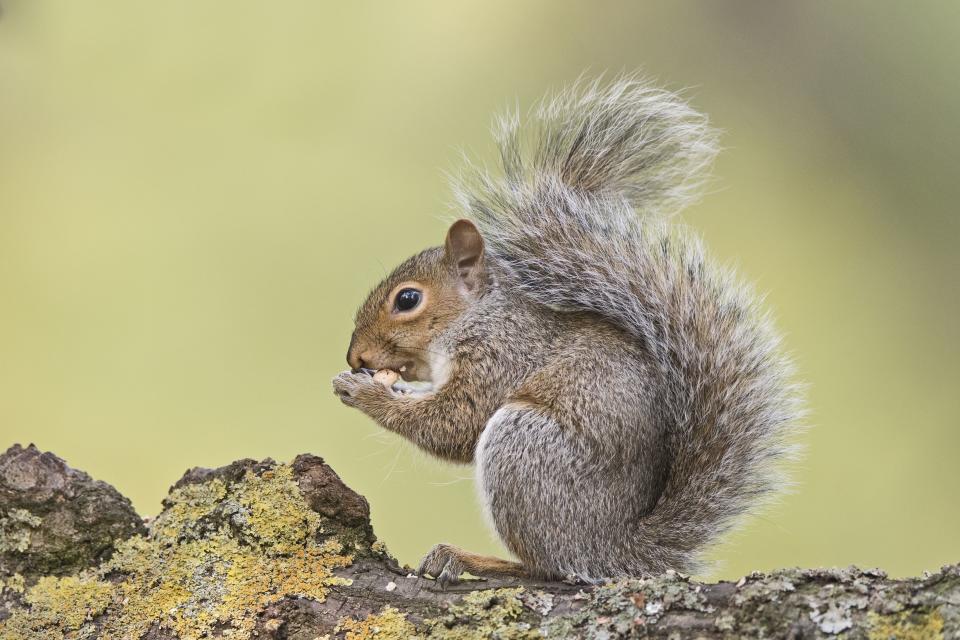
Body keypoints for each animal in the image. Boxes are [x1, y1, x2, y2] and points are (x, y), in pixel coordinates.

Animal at [332, 75, 804, 584]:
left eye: (407, 300)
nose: (355, 358)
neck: (478, 316)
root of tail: (615, 552)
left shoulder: (504, 353)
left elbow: (456, 423)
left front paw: (366, 394)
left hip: (524, 449)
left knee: (547, 566)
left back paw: (472, 558)